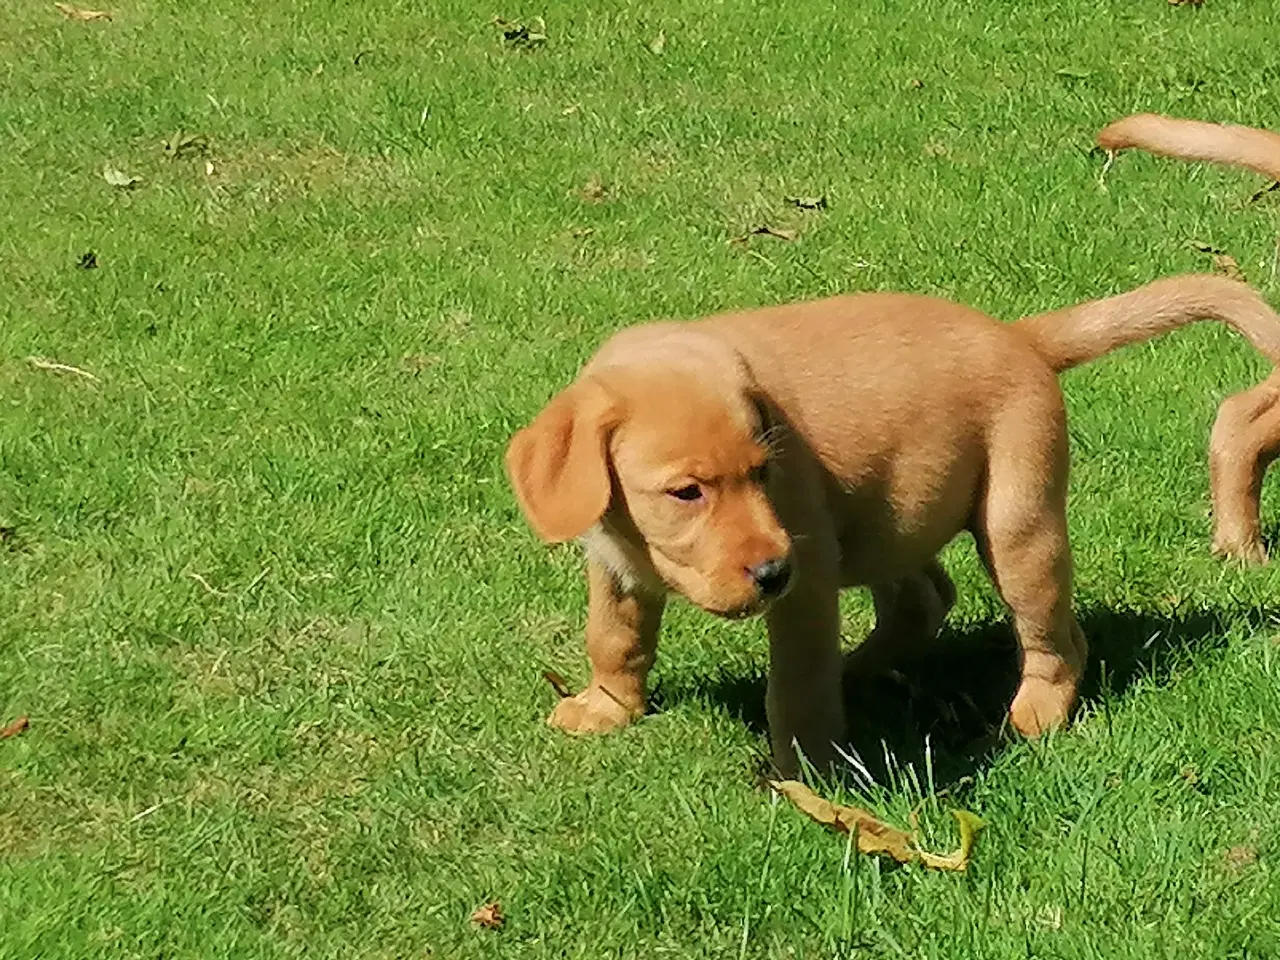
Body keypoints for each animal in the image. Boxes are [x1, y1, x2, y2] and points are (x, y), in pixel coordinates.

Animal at [504, 273, 1280, 778]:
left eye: (763, 473)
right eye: (685, 492)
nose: (772, 572)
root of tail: (1018, 337)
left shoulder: (808, 580)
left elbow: (798, 687)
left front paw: (806, 774)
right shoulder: (615, 566)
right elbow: (615, 638)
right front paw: (606, 706)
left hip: (1017, 523)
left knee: (1055, 638)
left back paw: (1034, 713)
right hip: (891, 516)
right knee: (926, 600)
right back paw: (867, 666)